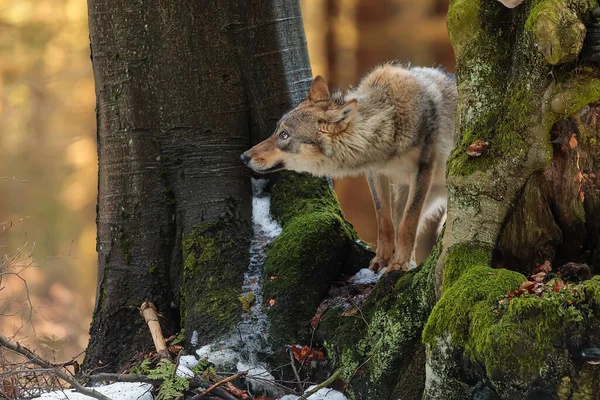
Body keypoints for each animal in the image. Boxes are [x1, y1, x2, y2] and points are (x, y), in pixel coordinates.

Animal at [239, 64, 454, 272]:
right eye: (276, 131)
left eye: (284, 135)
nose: (243, 157)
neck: (390, 121)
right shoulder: (374, 172)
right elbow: (385, 221)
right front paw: (382, 261)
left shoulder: (423, 170)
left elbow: (406, 225)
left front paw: (399, 265)